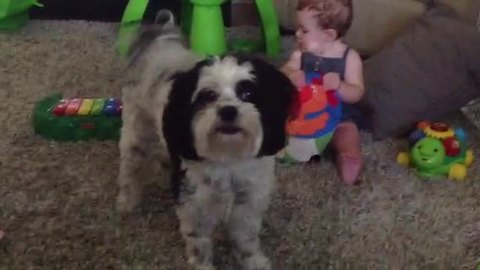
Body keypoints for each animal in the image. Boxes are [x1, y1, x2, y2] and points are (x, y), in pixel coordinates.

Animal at [115, 10, 296, 270]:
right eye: (208, 96)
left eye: (247, 93)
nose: (228, 111)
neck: (228, 157)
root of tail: (160, 45)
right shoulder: (195, 206)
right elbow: (199, 244)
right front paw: (204, 265)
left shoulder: (248, 204)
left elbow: (247, 241)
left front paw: (254, 262)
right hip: (136, 136)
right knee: (130, 171)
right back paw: (127, 202)